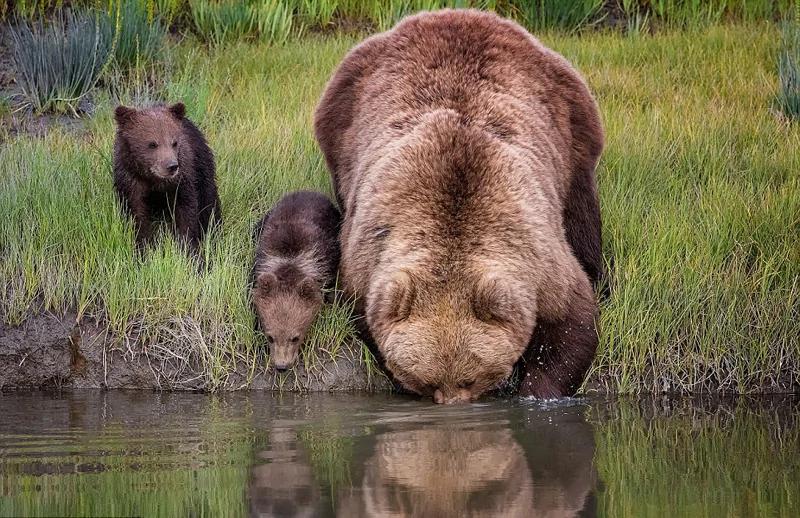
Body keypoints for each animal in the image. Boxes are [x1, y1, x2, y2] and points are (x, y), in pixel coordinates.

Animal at [113, 103, 221, 255]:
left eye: (174, 142)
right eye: (152, 144)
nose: (172, 166)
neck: (153, 179)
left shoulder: (181, 181)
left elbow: (186, 211)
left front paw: (188, 249)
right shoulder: (131, 181)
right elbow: (136, 214)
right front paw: (143, 249)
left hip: (203, 168)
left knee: (209, 203)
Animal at [314, 9, 604, 403]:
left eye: (471, 377)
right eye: (429, 381)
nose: (452, 405)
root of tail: (457, 13)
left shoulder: (539, 257)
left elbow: (571, 322)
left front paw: (538, 390)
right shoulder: (367, 260)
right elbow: (364, 319)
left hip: (571, 122)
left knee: (581, 216)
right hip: (342, 116)